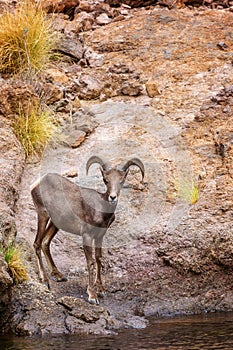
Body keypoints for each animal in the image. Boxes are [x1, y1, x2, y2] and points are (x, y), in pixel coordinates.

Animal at [30, 156, 144, 304]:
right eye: (105, 180)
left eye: (121, 180)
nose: (113, 197)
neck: (100, 210)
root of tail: (37, 183)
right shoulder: (87, 236)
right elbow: (90, 262)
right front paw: (92, 296)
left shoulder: (99, 236)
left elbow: (99, 259)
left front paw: (101, 290)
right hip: (43, 214)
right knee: (37, 243)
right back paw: (45, 281)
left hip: (56, 223)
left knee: (45, 242)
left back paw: (59, 275)